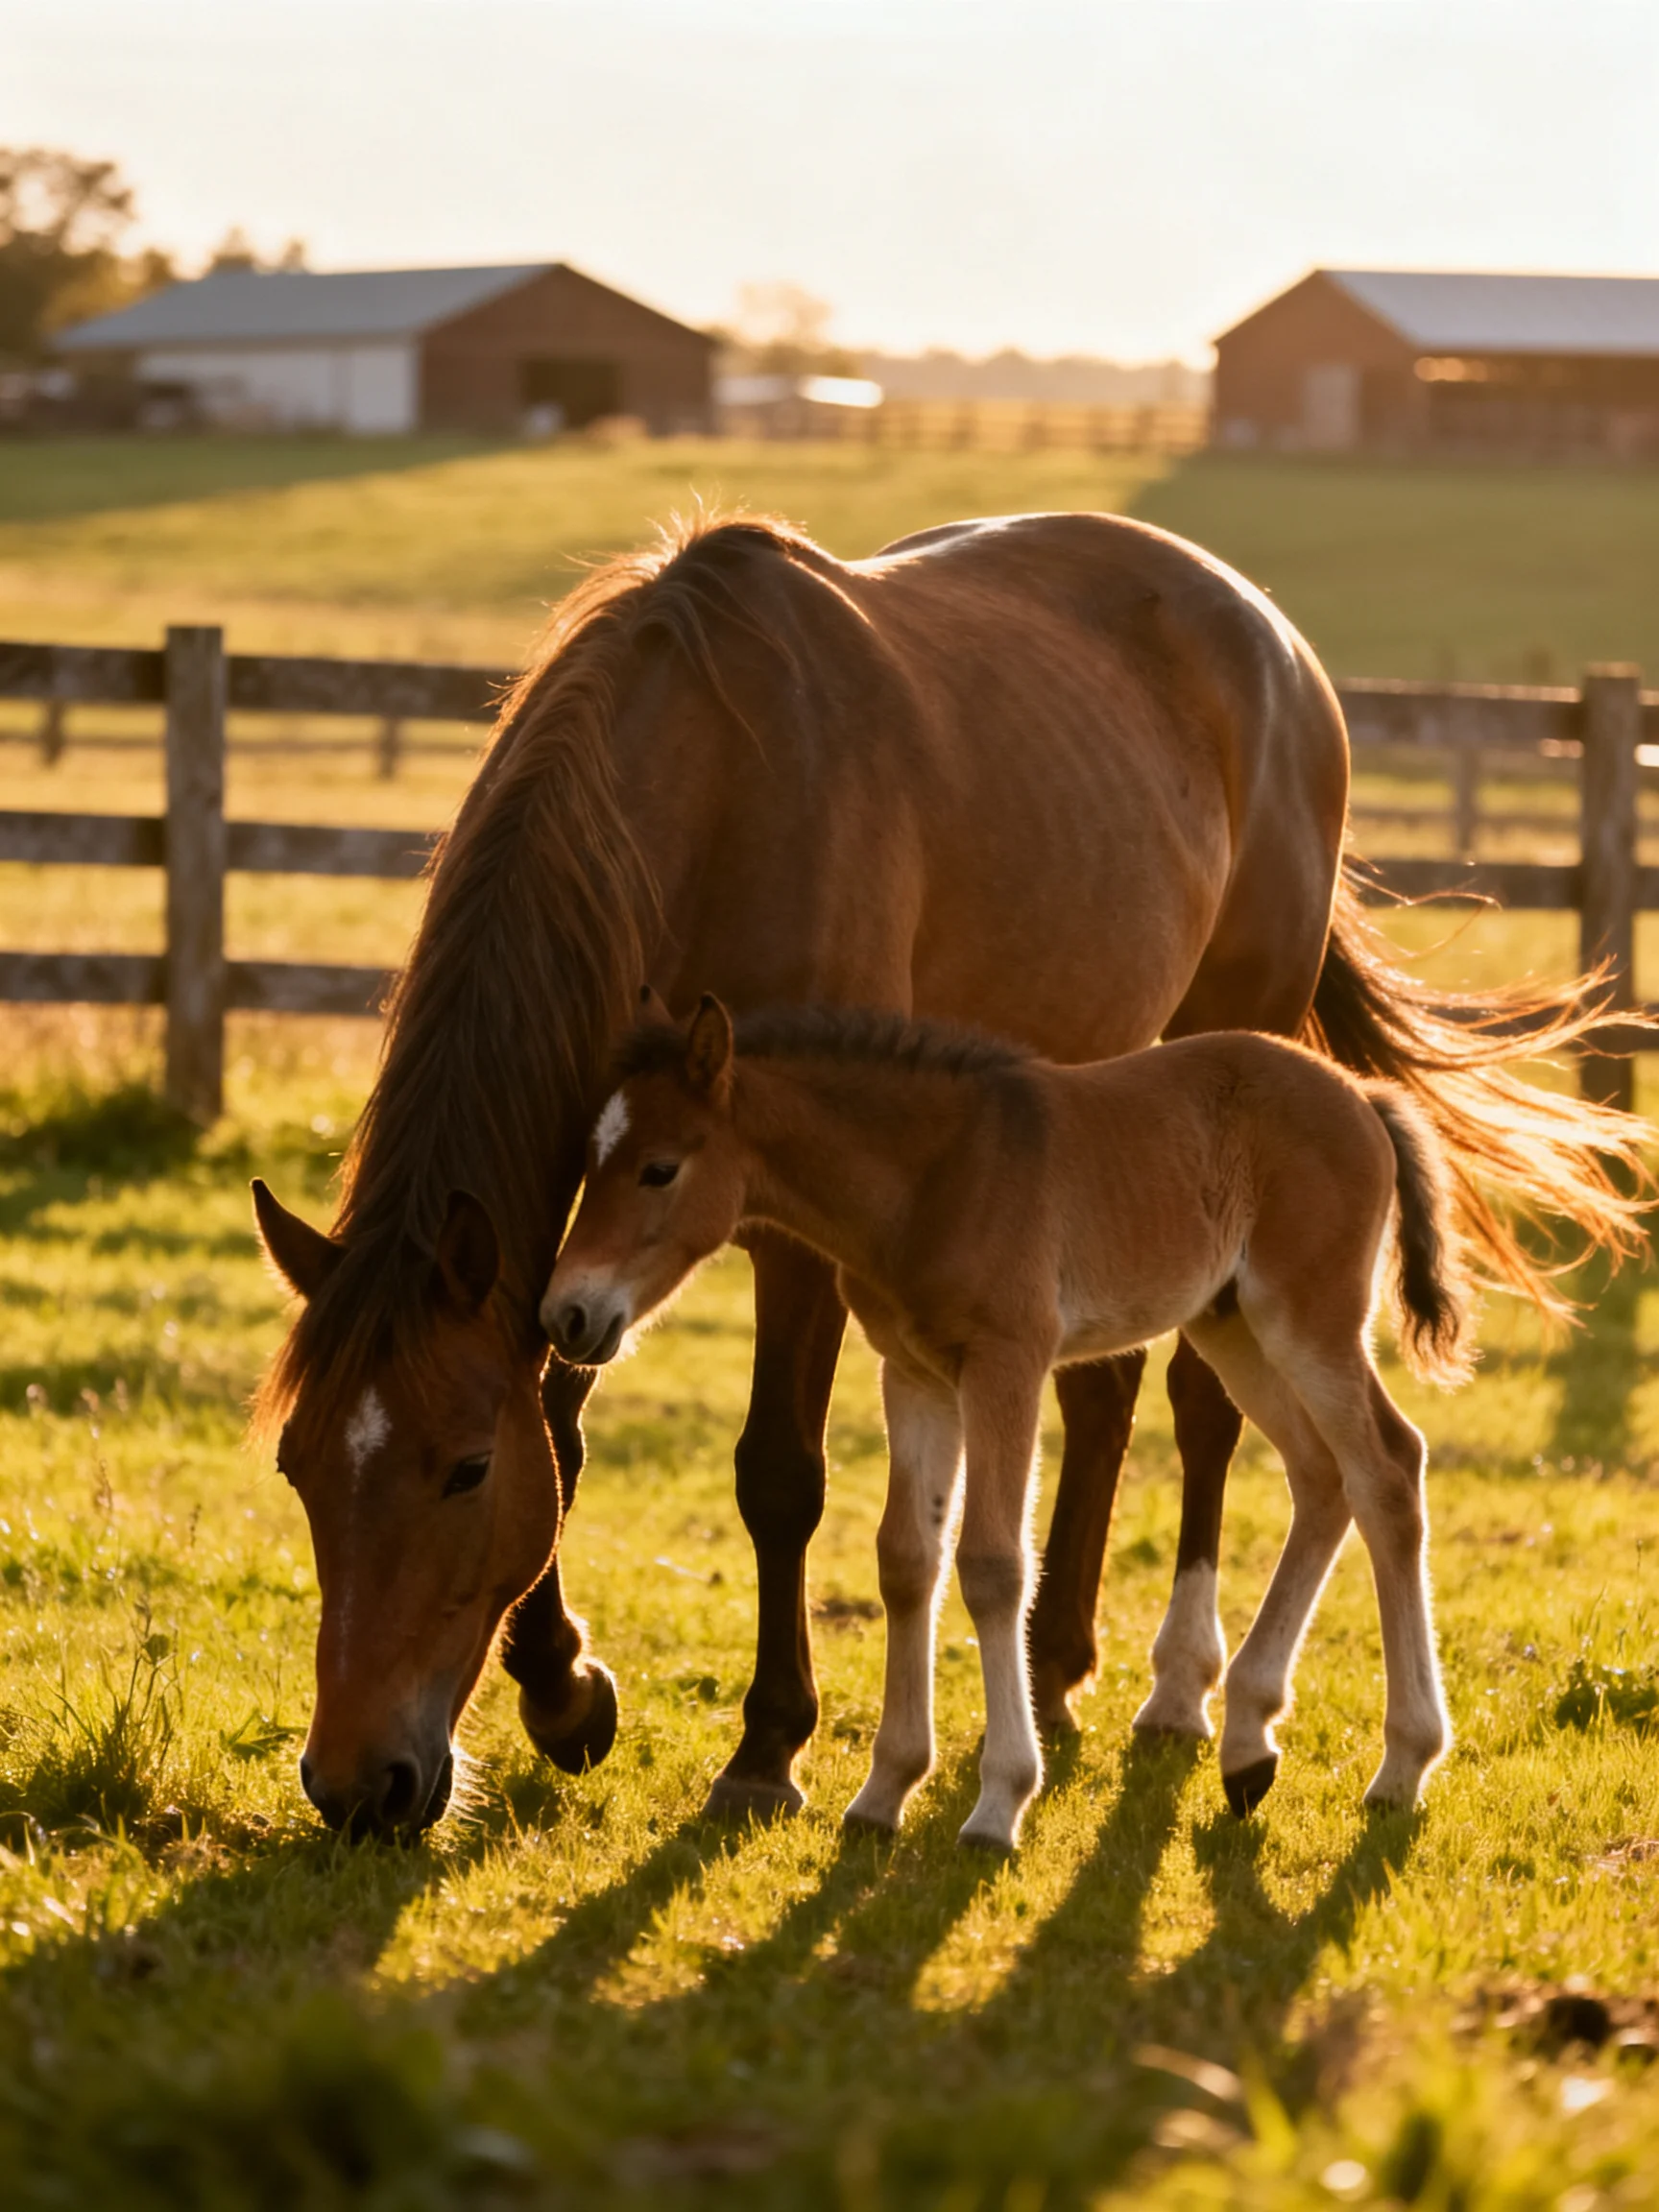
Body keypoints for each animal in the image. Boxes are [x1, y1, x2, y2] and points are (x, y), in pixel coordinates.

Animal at [542, 993, 1473, 1849]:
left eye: (660, 1168)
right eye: (588, 1160)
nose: (566, 1315)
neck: (933, 1176)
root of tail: (1364, 1099)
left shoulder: (1007, 1365)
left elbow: (992, 1565)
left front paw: (999, 1802)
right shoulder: (913, 1374)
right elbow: (906, 1559)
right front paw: (883, 1792)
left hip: (1305, 1320)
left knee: (1388, 1468)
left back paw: (1402, 1765)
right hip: (1231, 1324)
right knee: (1323, 1477)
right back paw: (1248, 1743)